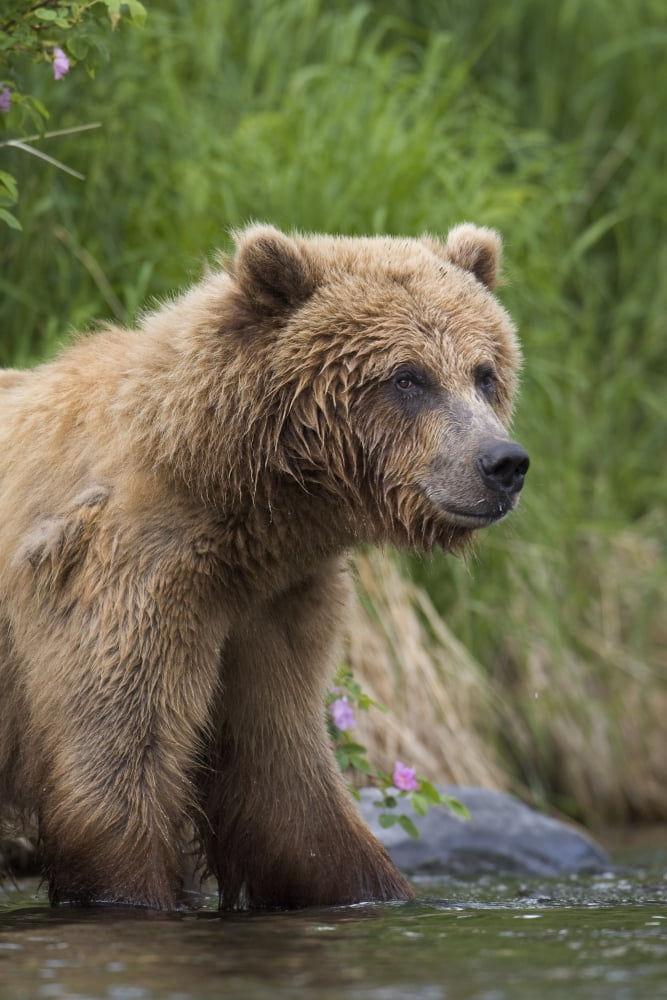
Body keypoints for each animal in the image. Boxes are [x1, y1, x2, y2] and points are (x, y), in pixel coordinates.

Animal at [0, 223, 528, 911]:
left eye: (484, 373)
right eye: (408, 378)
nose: (503, 462)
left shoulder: (273, 604)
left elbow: (284, 783)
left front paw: (376, 888)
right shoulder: (128, 574)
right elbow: (118, 762)